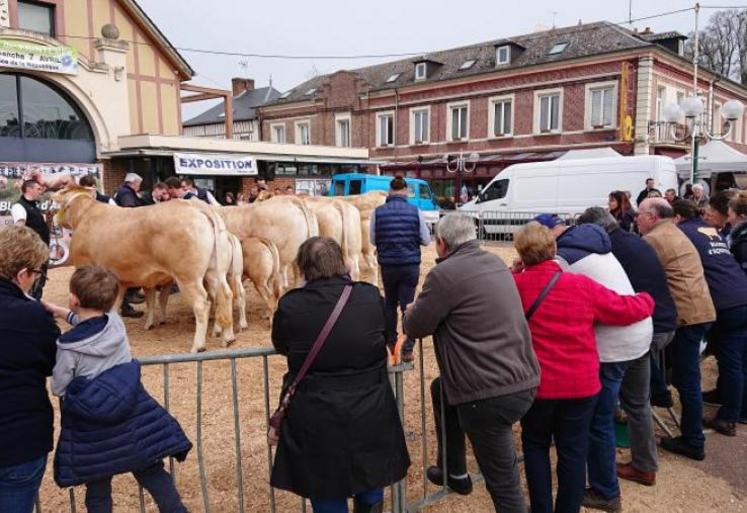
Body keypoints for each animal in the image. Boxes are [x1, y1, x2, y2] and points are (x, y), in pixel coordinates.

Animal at [53, 187, 234, 352]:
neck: (84, 215)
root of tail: (195, 206)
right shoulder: (121, 280)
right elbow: (116, 307)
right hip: (214, 271)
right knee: (225, 295)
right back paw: (228, 338)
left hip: (188, 277)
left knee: (202, 304)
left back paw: (198, 346)